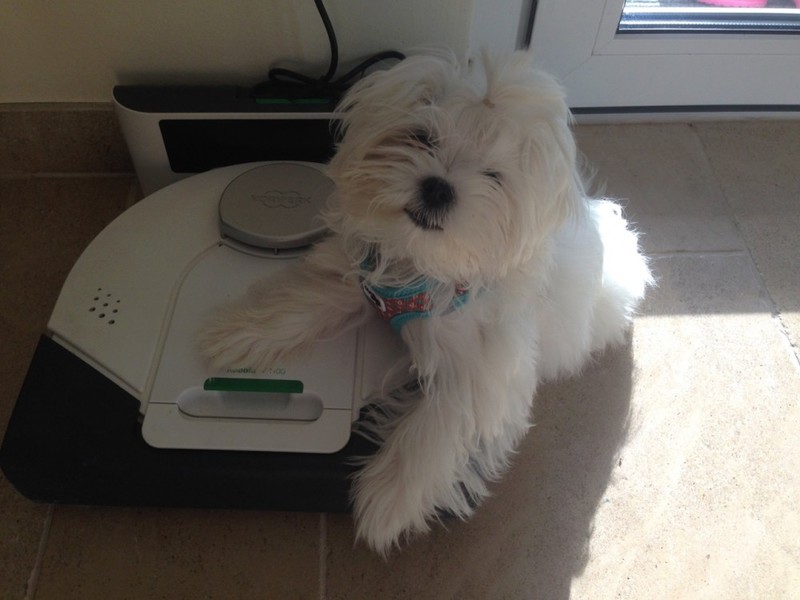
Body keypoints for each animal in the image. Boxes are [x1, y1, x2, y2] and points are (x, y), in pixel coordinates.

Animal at [198, 51, 652, 555]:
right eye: (422, 137)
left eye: (494, 176)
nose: (438, 187)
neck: (426, 264)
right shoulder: (362, 279)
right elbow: (305, 300)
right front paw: (238, 333)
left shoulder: (481, 375)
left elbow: (437, 429)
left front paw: (387, 501)